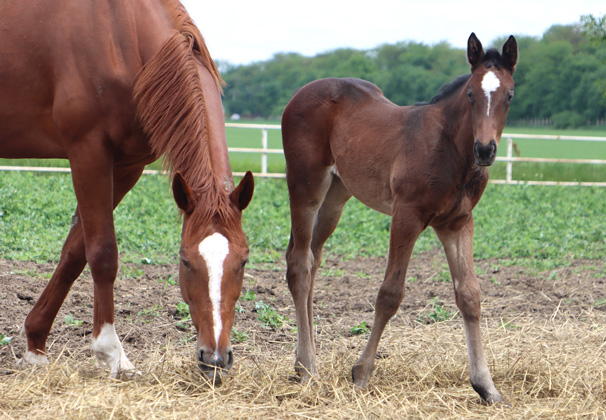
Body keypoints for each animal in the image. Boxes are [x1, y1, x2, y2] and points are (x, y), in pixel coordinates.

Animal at [0, 0, 254, 380]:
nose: (215, 358)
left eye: (244, 260)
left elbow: (74, 251)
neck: (121, 35)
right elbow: (103, 252)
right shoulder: (89, 153)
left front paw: (35, 344)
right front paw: (112, 353)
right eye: (185, 261)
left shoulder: (127, 167)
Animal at [284, 33, 516, 404]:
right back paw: (307, 368)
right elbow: (390, 293)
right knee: (299, 264)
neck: (451, 150)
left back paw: (304, 360)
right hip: (306, 186)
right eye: (470, 93)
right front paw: (361, 372)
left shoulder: (457, 223)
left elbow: (469, 295)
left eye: (509, 95)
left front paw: (487, 386)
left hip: (336, 195)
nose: (485, 150)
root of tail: (301, 92)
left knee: (312, 257)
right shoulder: (406, 217)